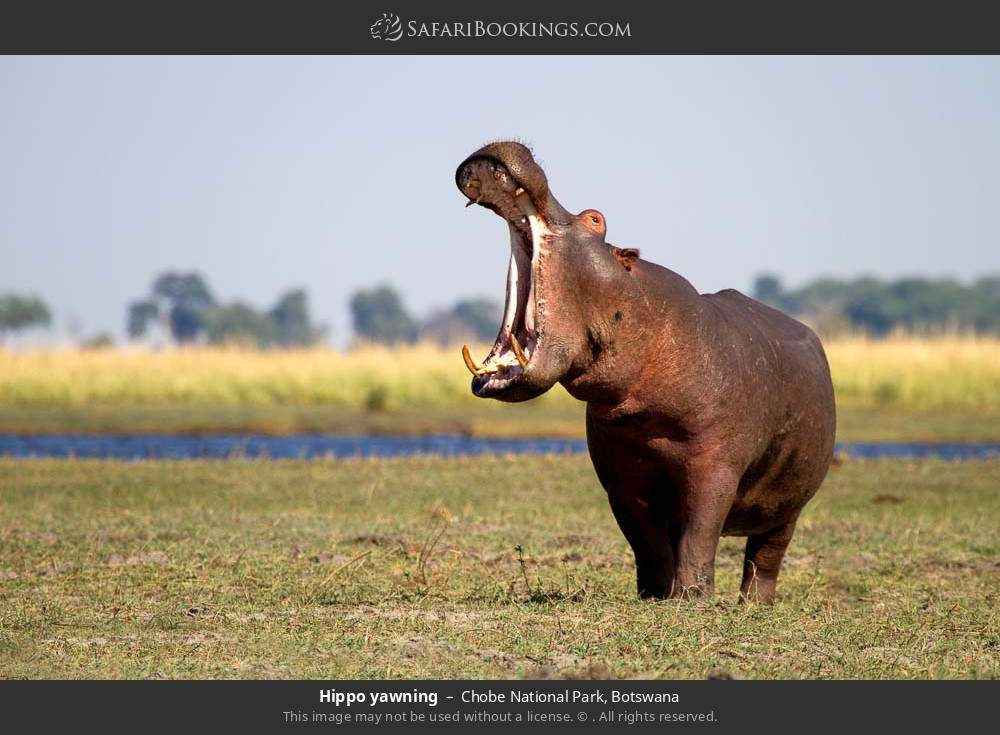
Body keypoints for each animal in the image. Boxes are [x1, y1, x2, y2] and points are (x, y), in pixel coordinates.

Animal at [458, 139, 840, 604]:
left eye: (595, 218)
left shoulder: (716, 468)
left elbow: (700, 533)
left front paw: (691, 597)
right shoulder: (621, 479)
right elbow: (646, 540)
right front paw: (655, 594)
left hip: (790, 505)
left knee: (765, 555)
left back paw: (754, 603)